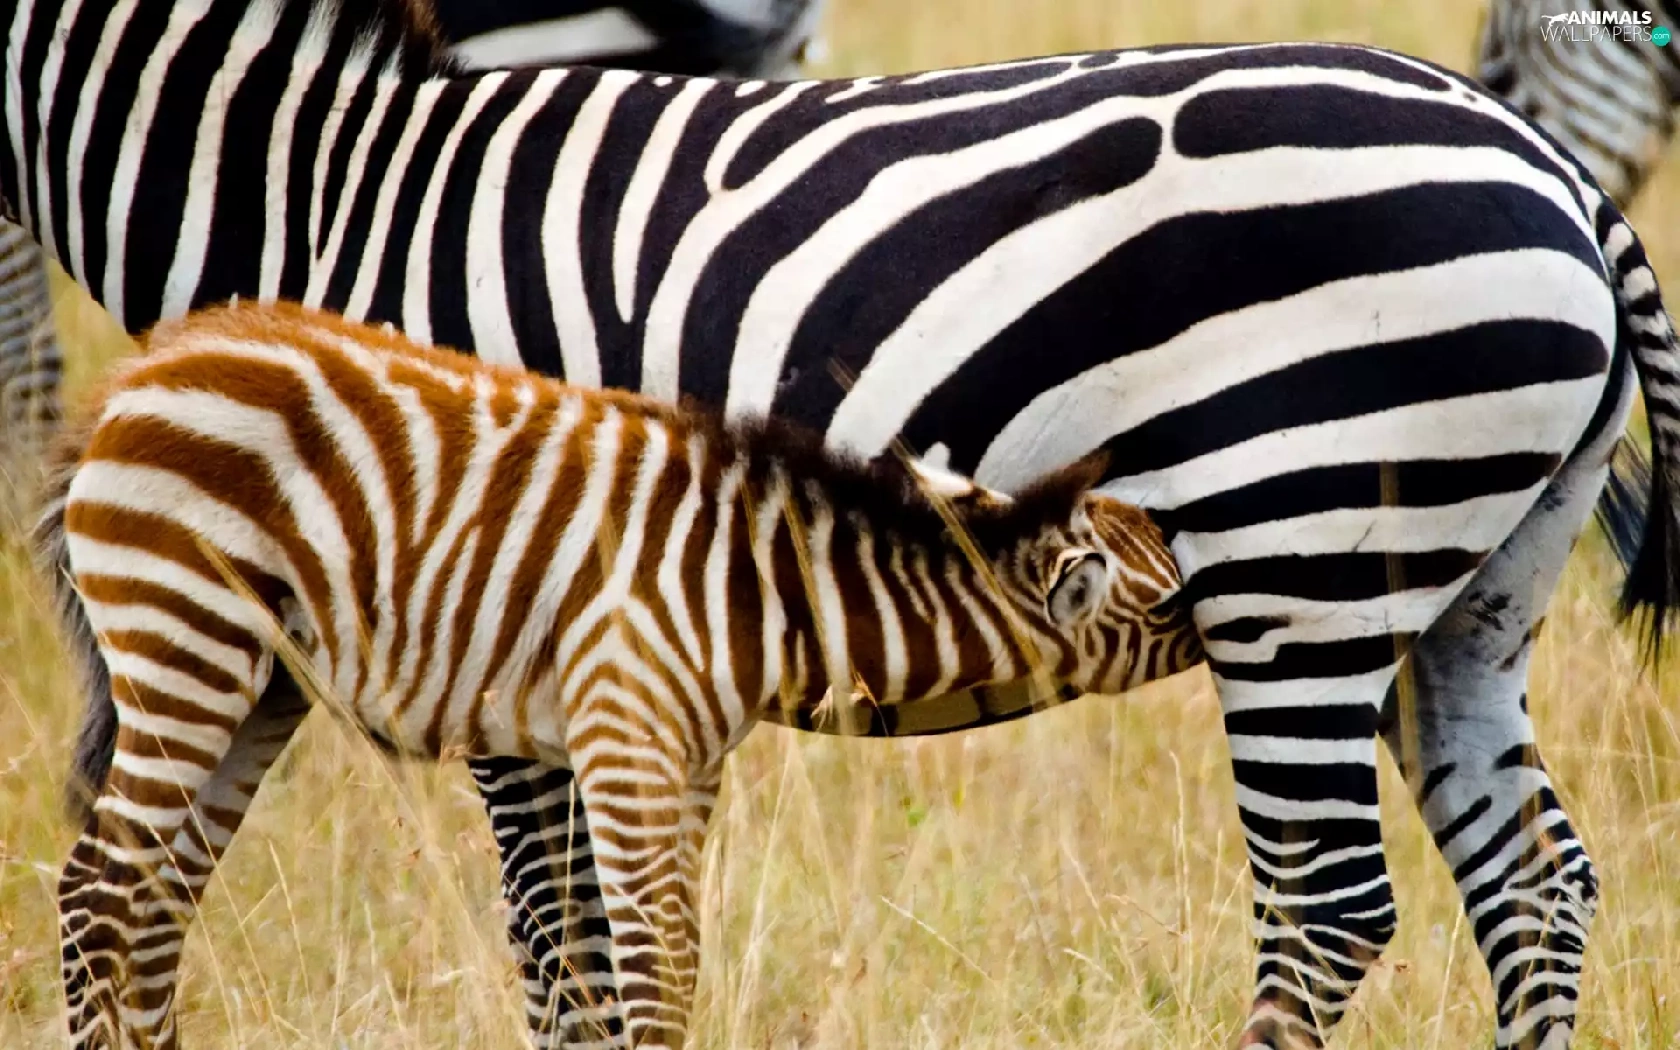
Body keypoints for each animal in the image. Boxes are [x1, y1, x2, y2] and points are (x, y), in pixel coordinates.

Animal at [42, 299, 1198, 1050]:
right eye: (1172, 605)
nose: (1237, 601)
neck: (764, 588)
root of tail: (138, 376)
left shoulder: (688, 759)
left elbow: (674, 966)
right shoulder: (624, 731)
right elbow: (652, 964)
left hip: (256, 684)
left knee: (157, 901)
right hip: (184, 637)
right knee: (99, 890)